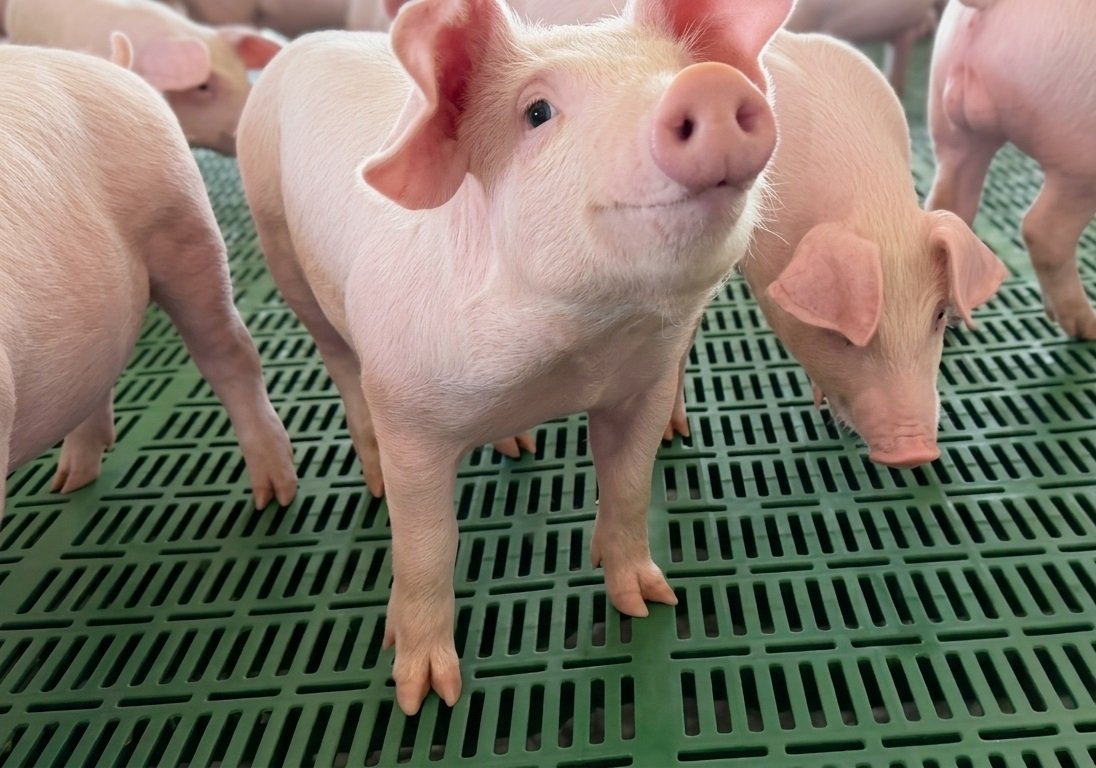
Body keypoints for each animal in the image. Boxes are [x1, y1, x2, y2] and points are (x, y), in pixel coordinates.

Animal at [238, 0, 789, 713]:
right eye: (537, 111)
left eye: (680, 67)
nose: (710, 86)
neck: (574, 352)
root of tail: (301, 44)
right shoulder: (408, 407)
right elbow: (426, 544)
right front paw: (426, 694)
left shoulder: (640, 383)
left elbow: (629, 484)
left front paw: (648, 603)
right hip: (280, 246)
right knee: (340, 364)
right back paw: (376, 477)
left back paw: (521, 445)